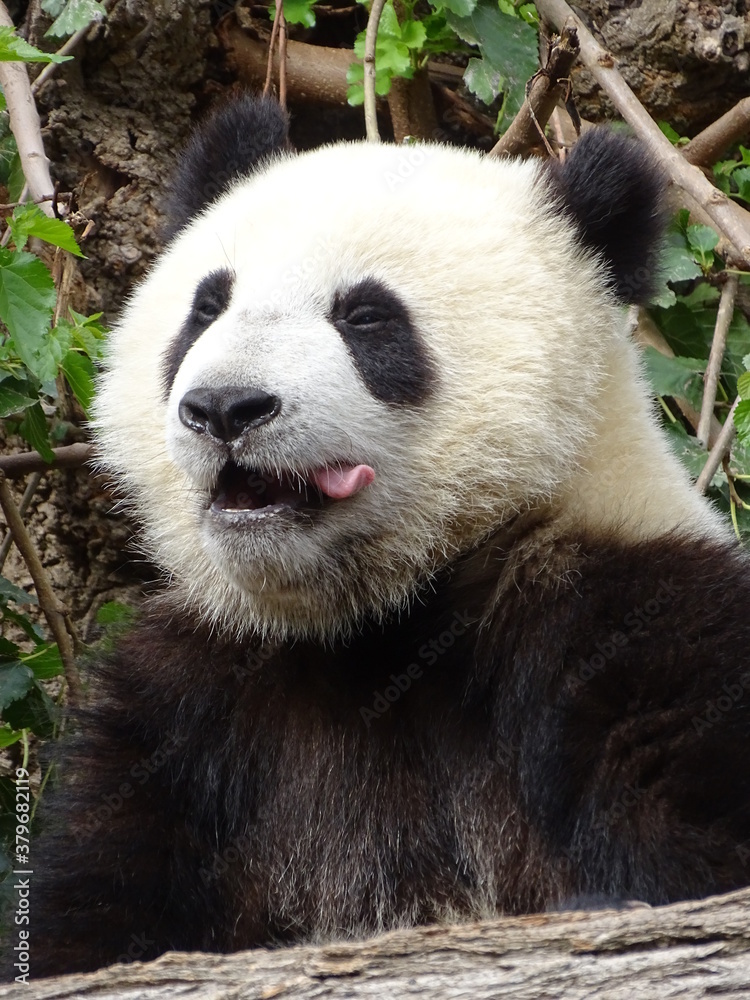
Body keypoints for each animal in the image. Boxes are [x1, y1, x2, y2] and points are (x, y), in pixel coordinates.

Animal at [16, 94, 750, 978]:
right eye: (206, 307)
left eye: (365, 317)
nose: (225, 407)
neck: (375, 621)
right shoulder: (194, 704)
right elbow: (99, 901)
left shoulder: (625, 618)